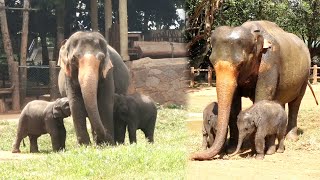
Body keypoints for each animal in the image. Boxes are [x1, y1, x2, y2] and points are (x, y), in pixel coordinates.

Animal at [191, 20, 312, 160]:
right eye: (211, 61)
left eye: (241, 64)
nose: (192, 156)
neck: (252, 32)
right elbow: (234, 104)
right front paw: (232, 149)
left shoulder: (269, 62)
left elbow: (262, 97)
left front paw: (253, 151)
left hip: (304, 77)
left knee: (295, 104)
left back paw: (291, 138)